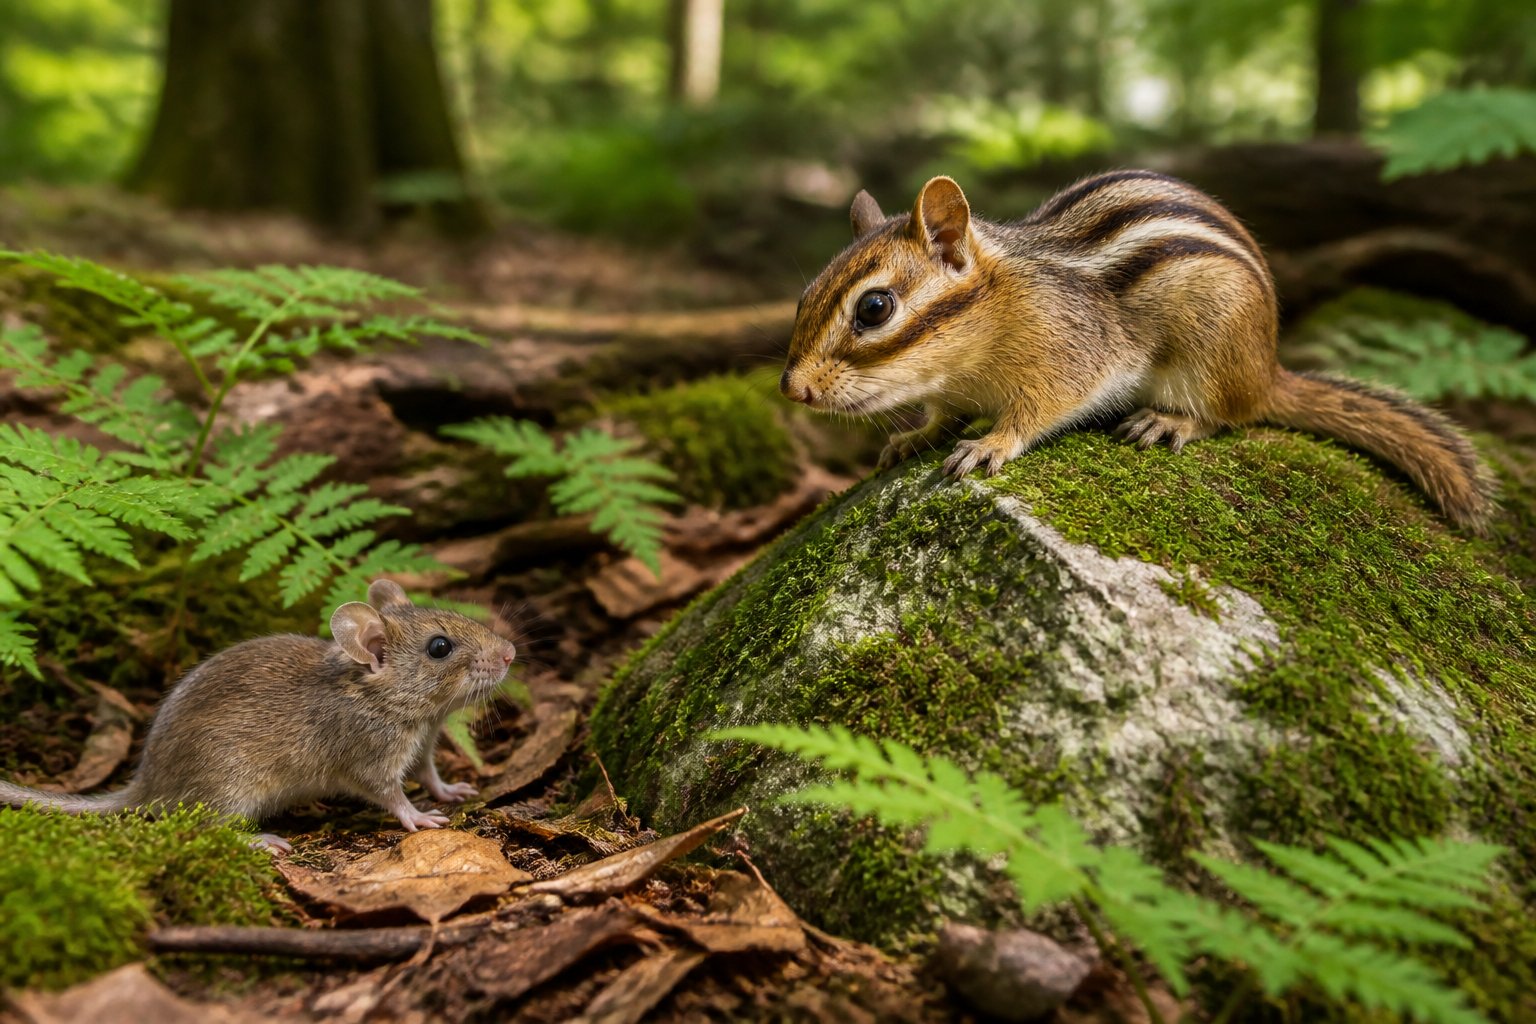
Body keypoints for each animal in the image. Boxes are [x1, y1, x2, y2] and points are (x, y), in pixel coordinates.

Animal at [0, 580, 516, 852]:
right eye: (439, 647)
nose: (510, 652)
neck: (381, 694)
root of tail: (145, 788)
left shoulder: (423, 746)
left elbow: (430, 775)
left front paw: (454, 790)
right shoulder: (370, 761)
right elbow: (393, 796)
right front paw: (421, 817)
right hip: (230, 789)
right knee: (207, 826)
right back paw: (261, 841)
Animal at [780, 170, 1494, 529]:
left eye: (874, 309)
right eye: (803, 296)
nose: (793, 388)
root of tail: (1268, 369)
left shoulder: (1068, 354)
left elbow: (1038, 410)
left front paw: (990, 443)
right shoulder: (951, 389)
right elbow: (940, 415)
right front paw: (912, 437)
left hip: (1210, 351)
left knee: (1230, 416)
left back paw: (1169, 422)